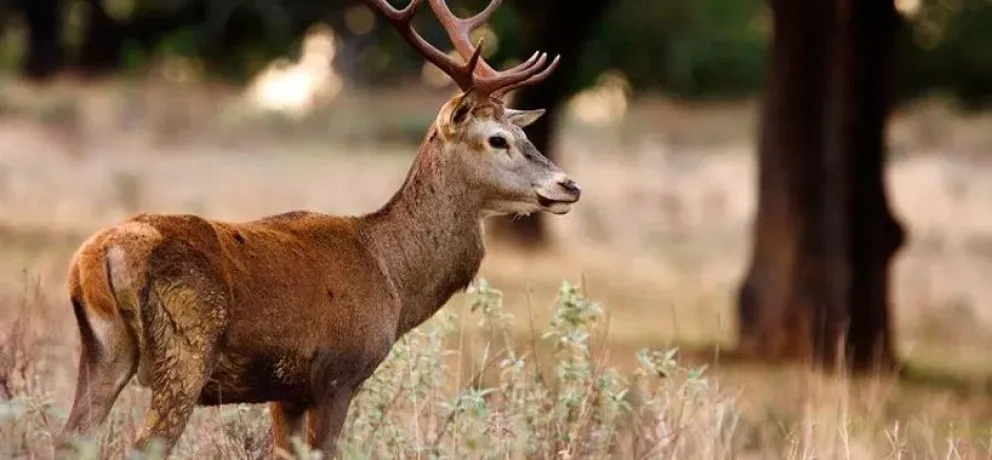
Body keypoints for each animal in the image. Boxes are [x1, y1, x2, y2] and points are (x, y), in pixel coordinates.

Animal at [55, 0, 580, 457]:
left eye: (525, 133)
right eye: (498, 140)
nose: (569, 185)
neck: (392, 277)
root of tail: (97, 257)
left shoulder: (285, 392)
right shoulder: (336, 373)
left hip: (103, 352)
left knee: (70, 438)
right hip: (184, 349)